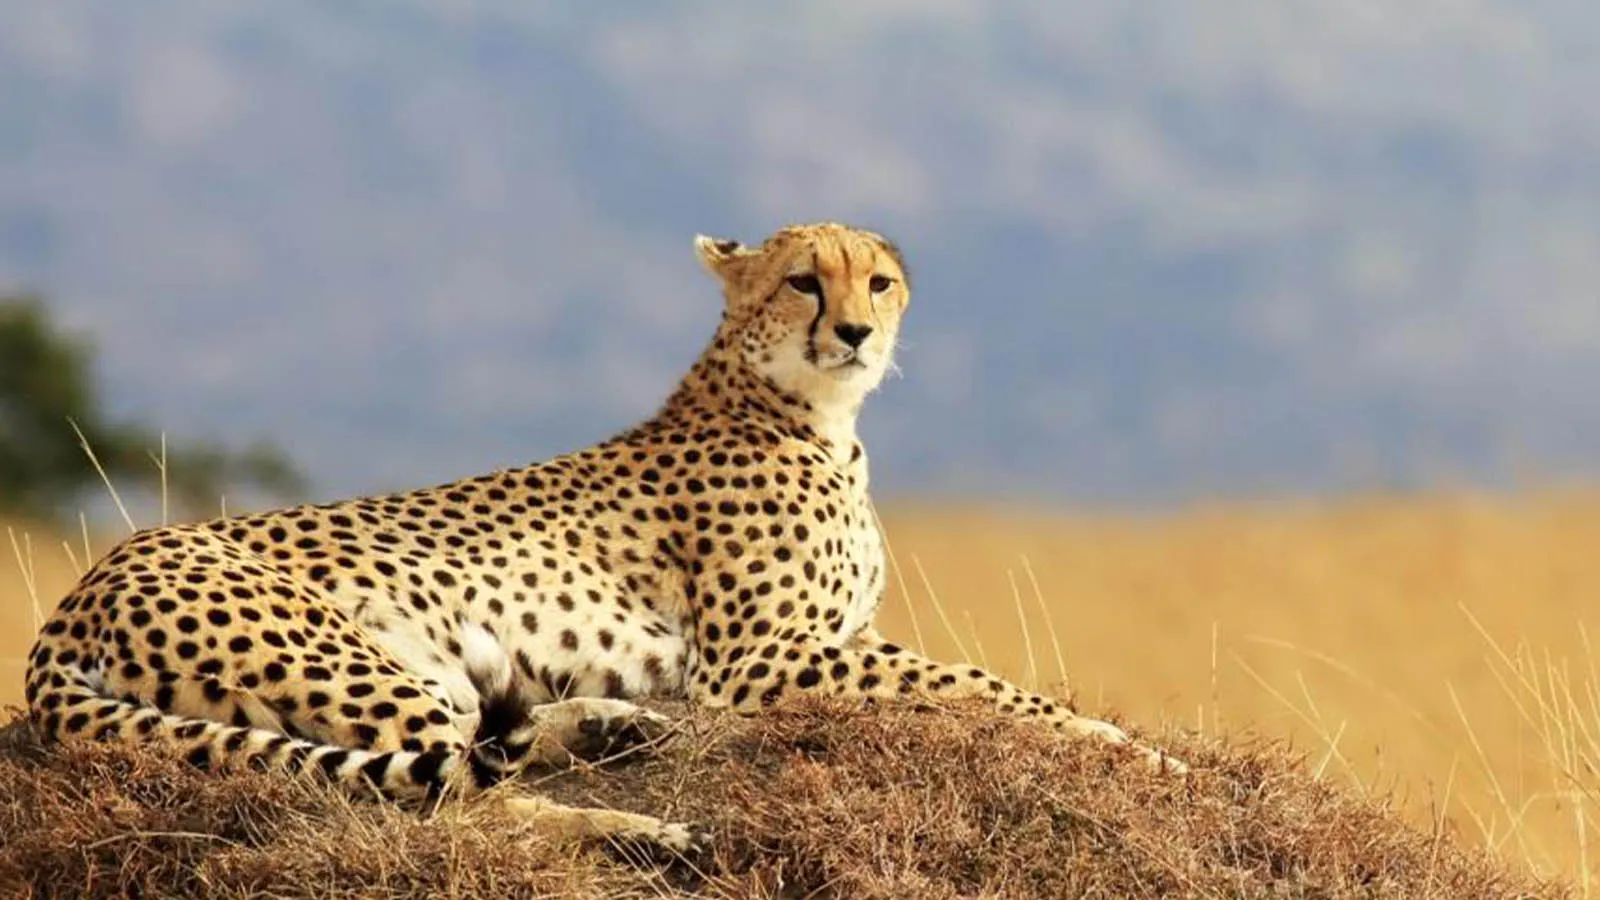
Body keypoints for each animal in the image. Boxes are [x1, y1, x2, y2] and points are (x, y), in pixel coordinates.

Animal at [23, 222, 1184, 861]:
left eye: (879, 281)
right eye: (805, 281)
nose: (856, 332)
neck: (809, 411)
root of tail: (75, 596)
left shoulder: (808, 648)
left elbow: (970, 682)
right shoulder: (760, 664)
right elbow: (980, 684)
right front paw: (1131, 746)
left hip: (419, 669)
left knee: (474, 751)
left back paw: (615, 731)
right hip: (348, 661)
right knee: (448, 801)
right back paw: (637, 828)